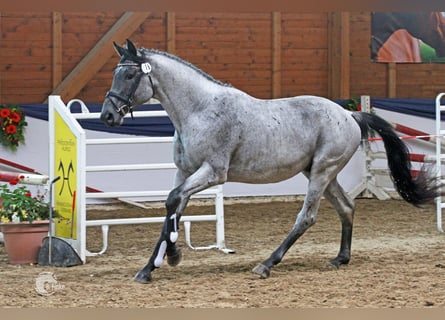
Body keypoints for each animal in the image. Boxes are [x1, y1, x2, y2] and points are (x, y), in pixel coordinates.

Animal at [99, 39, 438, 282]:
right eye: (116, 73)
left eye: (130, 74)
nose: (108, 116)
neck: (199, 110)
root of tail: (350, 114)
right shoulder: (184, 173)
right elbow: (171, 209)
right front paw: (149, 269)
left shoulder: (212, 173)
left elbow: (172, 202)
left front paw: (172, 256)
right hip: (320, 173)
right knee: (346, 207)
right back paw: (340, 258)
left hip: (322, 172)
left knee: (307, 217)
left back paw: (266, 265)